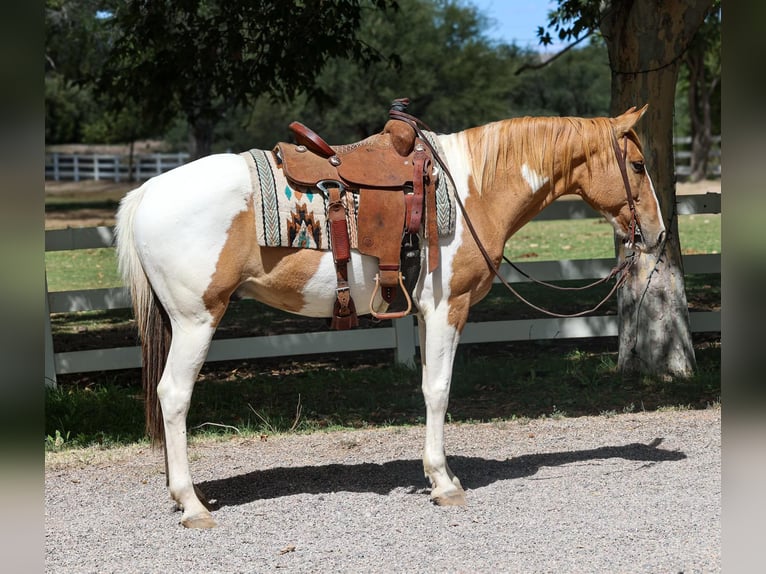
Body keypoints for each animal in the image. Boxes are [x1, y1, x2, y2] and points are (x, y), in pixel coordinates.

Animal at [115, 105, 665, 528]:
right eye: (638, 165)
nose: (658, 235)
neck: (472, 189)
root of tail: (148, 192)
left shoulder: (424, 312)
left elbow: (427, 386)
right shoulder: (447, 307)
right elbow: (438, 390)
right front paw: (443, 482)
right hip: (196, 319)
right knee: (174, 396)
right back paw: (191, 504)